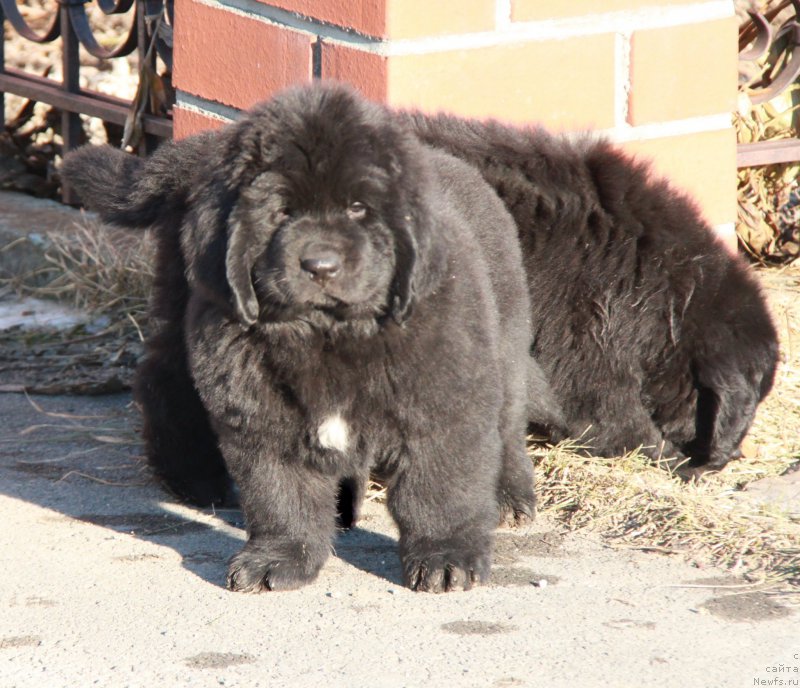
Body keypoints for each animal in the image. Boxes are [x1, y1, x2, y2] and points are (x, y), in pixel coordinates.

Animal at [61, 83, 556, 592]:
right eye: (282, 211)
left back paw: (509, 497)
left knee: (507, 423)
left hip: (504, 342)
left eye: (359, 208)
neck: (328, 334)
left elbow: (440, 485)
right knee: (164, 377)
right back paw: (196, 479)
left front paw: (446, 559)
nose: (320, 265)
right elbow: (281, 493)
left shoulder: (441, 399)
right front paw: (279, 559)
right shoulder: (260, 415)